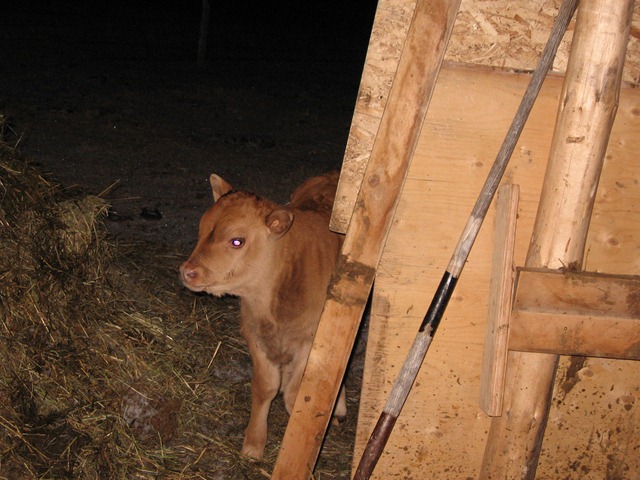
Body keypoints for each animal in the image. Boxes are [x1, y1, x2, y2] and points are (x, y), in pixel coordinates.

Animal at [179, 171, 346, 460]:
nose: (187, 271)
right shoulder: (253, 332)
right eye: (201, 228)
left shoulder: (311, 341)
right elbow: (266, 387)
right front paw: (253, 445)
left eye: (237, 240)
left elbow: (293, 395)